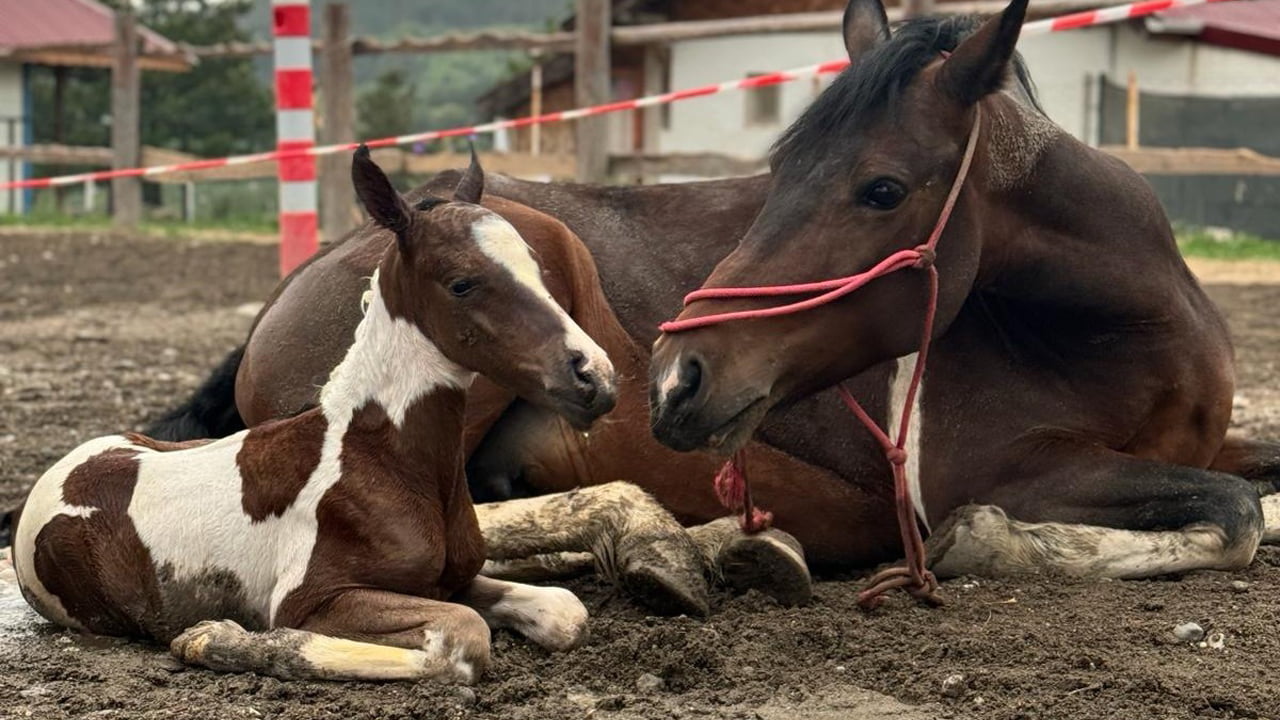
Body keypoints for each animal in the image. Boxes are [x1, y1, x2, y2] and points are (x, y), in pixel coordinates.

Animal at [8, 146, 619, 676]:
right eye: (462, 283)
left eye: (538, 268)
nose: (595, 376)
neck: (382, 460)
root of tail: (54, 476)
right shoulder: (320, 599)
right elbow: (464, 638)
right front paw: (218, 639)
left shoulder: (452, 580)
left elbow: (565, 611)